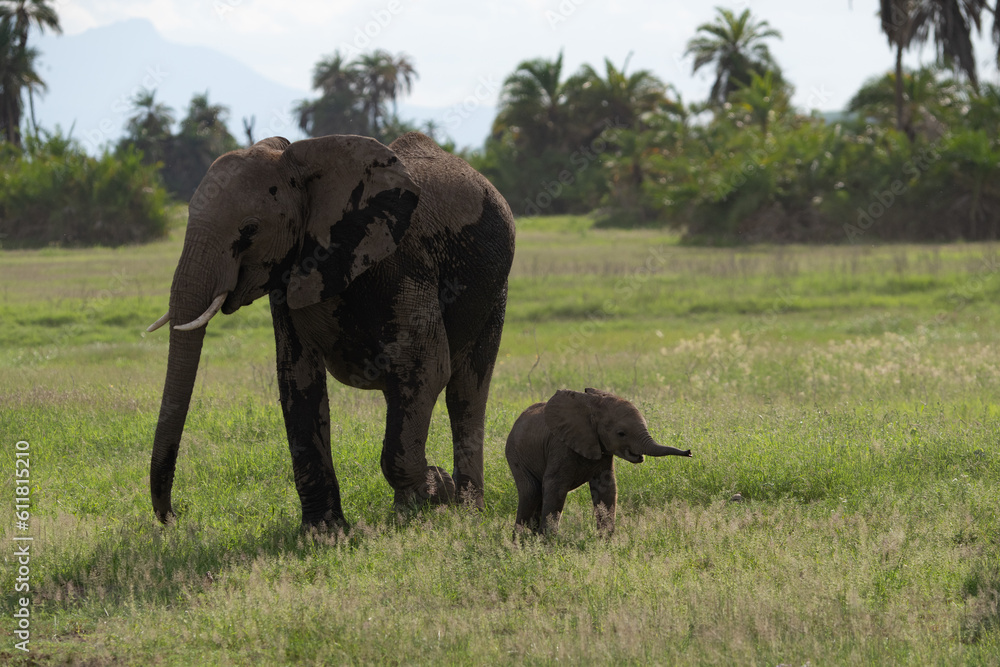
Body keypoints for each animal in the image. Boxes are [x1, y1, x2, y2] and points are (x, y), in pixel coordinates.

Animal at [146, 132, 515, 528]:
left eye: (249, 230)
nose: (175, 517)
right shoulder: (291, 275)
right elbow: (297, 379)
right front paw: (325, 532)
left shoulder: (404, 262)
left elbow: (426, 366)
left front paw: (434, 494)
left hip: (495, 290)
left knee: (465, 391)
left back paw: (466, 509)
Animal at [505, 388, 691, 535]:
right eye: (621, 433)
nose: (689, 452)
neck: (591, 409)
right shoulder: (560, 446)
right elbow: (555, 487)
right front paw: (547, 545)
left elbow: (606, 488)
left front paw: (606, 543)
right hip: (515, 456)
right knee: (531, 492)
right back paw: (519, 545)